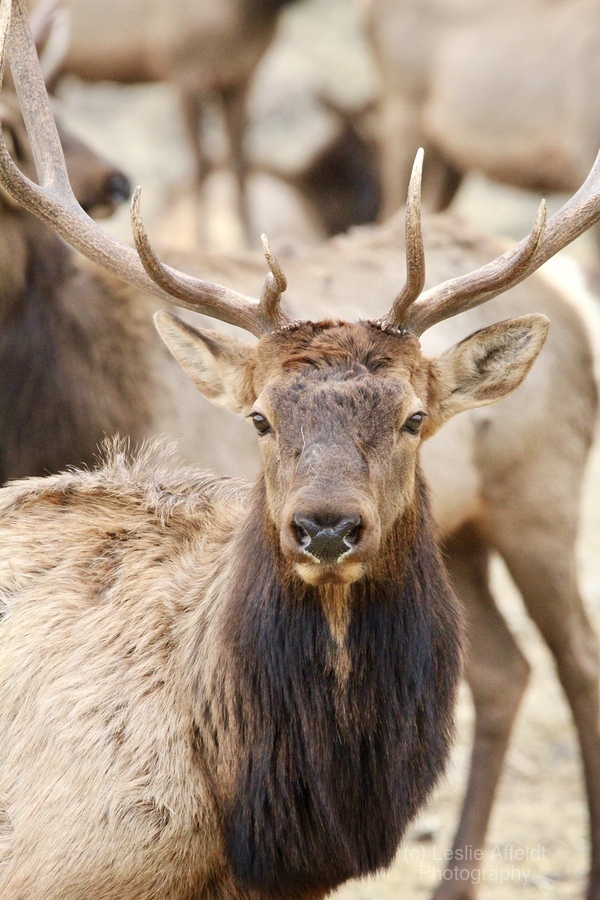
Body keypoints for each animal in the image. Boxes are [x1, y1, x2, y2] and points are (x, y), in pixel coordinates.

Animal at [27, 0, 301, 242]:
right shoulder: (186, 72)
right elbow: (201, 163)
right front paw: (202, 239)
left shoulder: (242, 74)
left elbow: (240, 162)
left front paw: (248, 238)